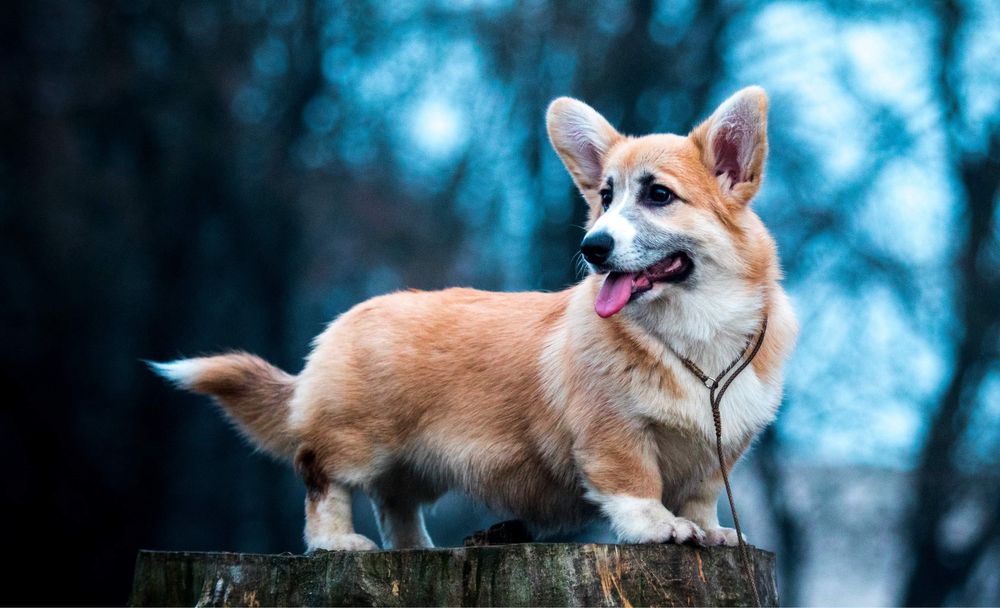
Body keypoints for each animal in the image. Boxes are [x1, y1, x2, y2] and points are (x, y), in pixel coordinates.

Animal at [152, 86, 796, 556]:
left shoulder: (721, 451)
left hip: (415, 464)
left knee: (395, 502)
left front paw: (710, 532)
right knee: (323, 480)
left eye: (658, 195)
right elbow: (636, 486)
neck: (693, 332)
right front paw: (658, 527)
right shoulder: (613, 433)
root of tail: (345, 320)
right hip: (353, 440)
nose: (592, 247)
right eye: (605, 197)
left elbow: (700, 498)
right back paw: (339, 543)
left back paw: (416, 550)